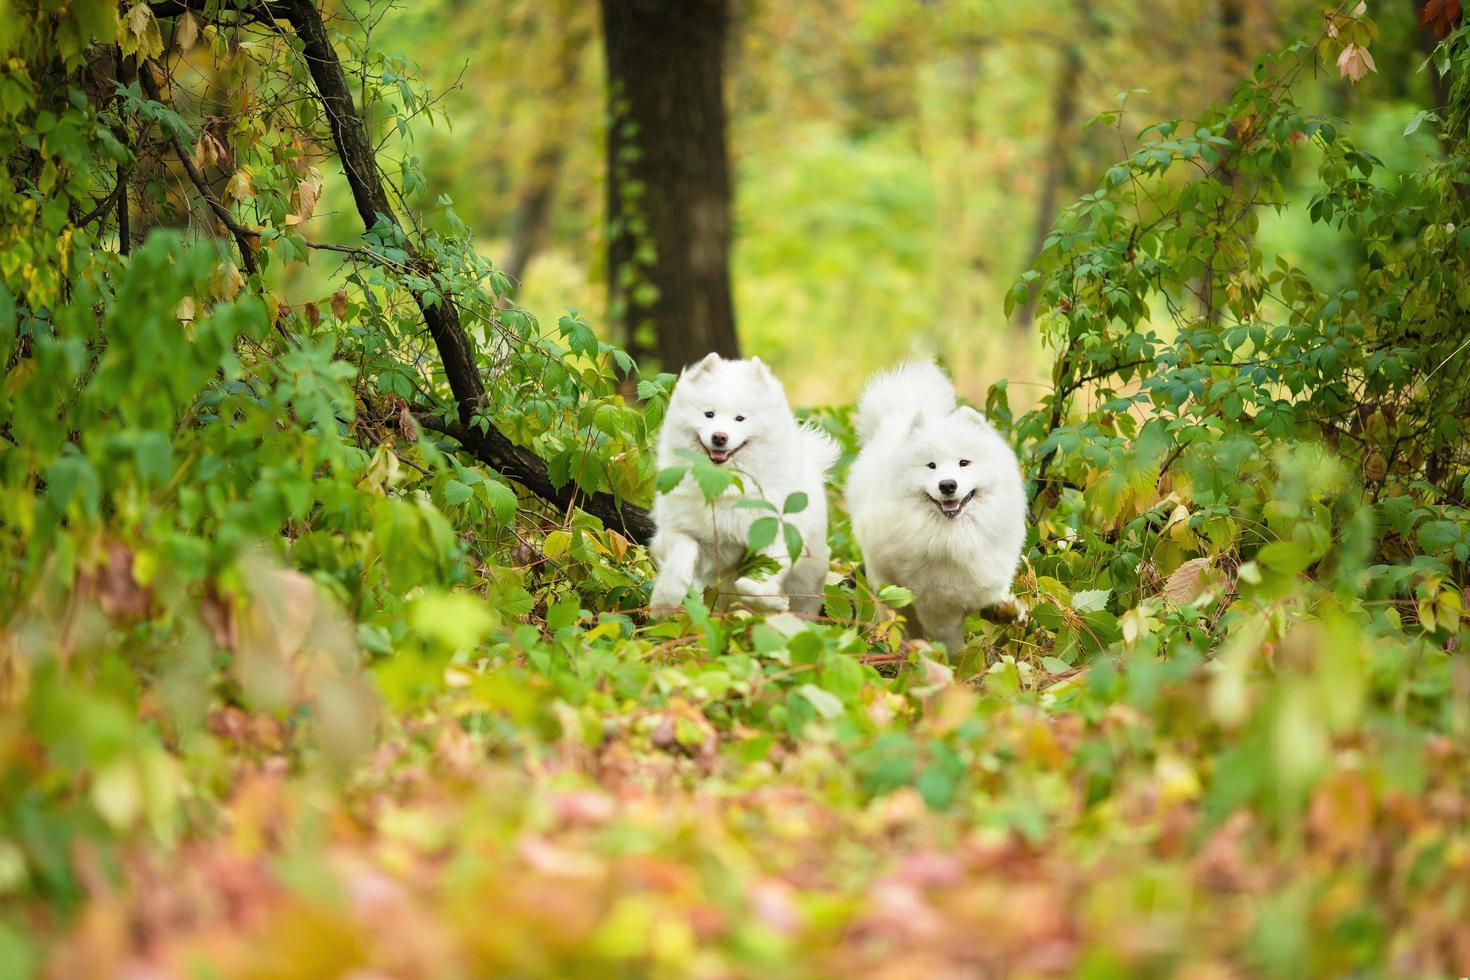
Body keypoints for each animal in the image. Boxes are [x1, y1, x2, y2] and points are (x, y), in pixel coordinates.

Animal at [652, 352, 846, 614]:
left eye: (740, 418)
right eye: (709, 414)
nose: (719, 437)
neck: (724, 485)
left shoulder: (774, 534)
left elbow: (753, 583)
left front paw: (773, 600)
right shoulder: (680, 530)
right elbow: (682, 552)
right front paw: (665, 598)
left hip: (808, 581)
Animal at [846, 359, 1029, 652]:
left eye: (964, 462)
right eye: (931, 465)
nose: (947, 485)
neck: (955, 536)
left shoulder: (987, 577)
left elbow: (994, 599)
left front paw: (1009, 611)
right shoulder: (937, 608)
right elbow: (952, 646)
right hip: (890, 588)